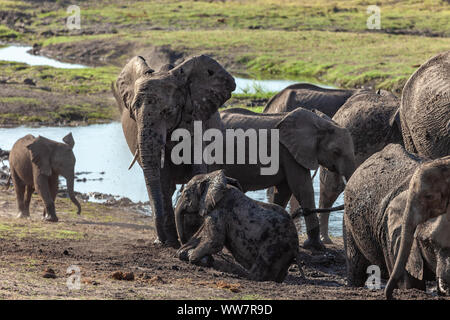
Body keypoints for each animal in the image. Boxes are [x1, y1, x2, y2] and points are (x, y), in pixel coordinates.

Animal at [112, 55, 236, 246]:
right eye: (133, 112)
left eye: (168, 112)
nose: (160, 241)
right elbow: (162, 179)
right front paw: (170, 243)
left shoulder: (196, 120)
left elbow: (198, 169)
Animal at [174, 170, 304, 282]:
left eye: (185, 193)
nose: (181, 245)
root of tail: (296, 247)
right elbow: (203, 234)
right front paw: (184, 252)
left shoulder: (220, 210)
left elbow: (214, 241)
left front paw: (192, 257)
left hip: (275, 246)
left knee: (259, 270)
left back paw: (242, 274)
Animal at [213, 107, 356, 250]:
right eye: (336, 152)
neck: (320, 123)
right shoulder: (289, 153)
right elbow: (302, 188)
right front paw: (315, 246)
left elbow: (284, 191)